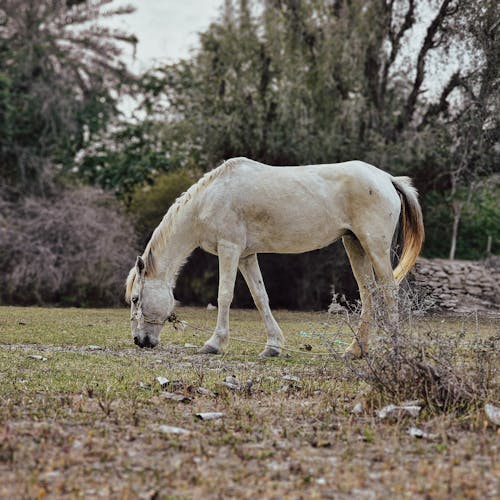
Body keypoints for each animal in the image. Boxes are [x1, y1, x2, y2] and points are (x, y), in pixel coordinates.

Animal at [127, 158, 424, 358]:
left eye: (135, 299)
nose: (140, 340)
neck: (209, 199)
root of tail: (386, 178)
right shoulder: (246, 256)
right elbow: (261, 298)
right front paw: (272, 346)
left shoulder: (229, 249)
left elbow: (225, 295)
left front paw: (214, 344)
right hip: (355, 245)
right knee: (369, 294)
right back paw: (354, 350)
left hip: (374, 246)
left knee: (389, 292)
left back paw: (394, 350)